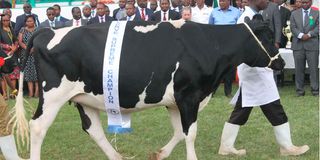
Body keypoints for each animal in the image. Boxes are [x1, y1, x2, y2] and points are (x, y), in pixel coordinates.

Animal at [13, 14, 284, 159]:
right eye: (269, 36)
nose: (281, 62)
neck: (208, 44)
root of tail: (47, 31)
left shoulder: (175, 101)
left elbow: (180, 132)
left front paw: (160, 154)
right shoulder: (189, 95)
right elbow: (190, 133)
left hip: (84, 96)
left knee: (93, 129)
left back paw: (117, 156)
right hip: (53, 95)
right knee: (38, 127)